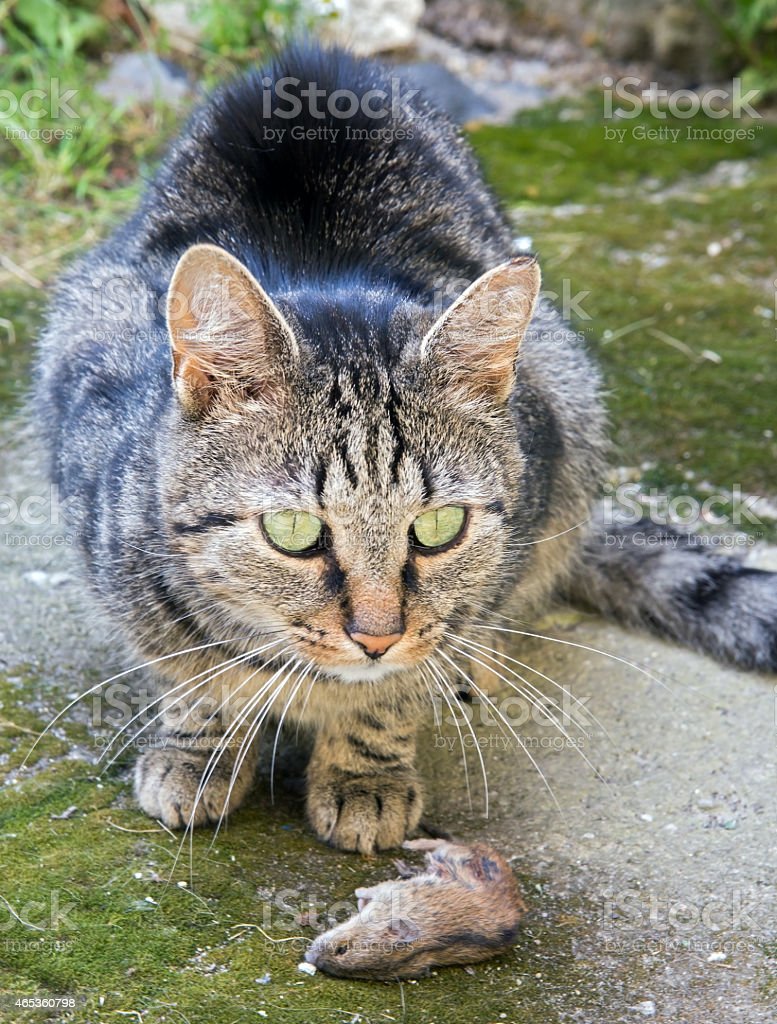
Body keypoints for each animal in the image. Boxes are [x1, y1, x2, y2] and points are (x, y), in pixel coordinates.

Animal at [35, 44, 777, 851]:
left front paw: (366, 773)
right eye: (293, 532)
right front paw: (198, 752)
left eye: (439, 528)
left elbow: (399, 688)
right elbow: (187, 677)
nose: (378, 637)